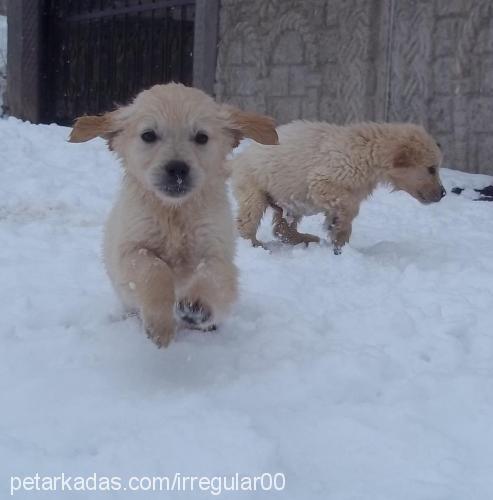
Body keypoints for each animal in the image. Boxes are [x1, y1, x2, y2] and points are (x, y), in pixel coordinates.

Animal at [69, 83, 278, 348]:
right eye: (148, 135)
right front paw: (160, 324)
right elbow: (154, 269)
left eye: (201, 137)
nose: (177, 169)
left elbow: (213, 273)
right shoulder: (130, 249)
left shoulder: (217, 249)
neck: (175, 212)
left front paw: (196, 305)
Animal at [232, 121, 446, 254]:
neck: (367, 151)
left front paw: (339, 240)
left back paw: (306, 239)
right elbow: (348, 206)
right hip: (254, 189)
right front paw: (339, 228)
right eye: (431, 169)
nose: (443, 193)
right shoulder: (323, 181)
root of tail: (239, 158)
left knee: (282, 228)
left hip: (288, 202)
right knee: (247, 221)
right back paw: (255, 244)